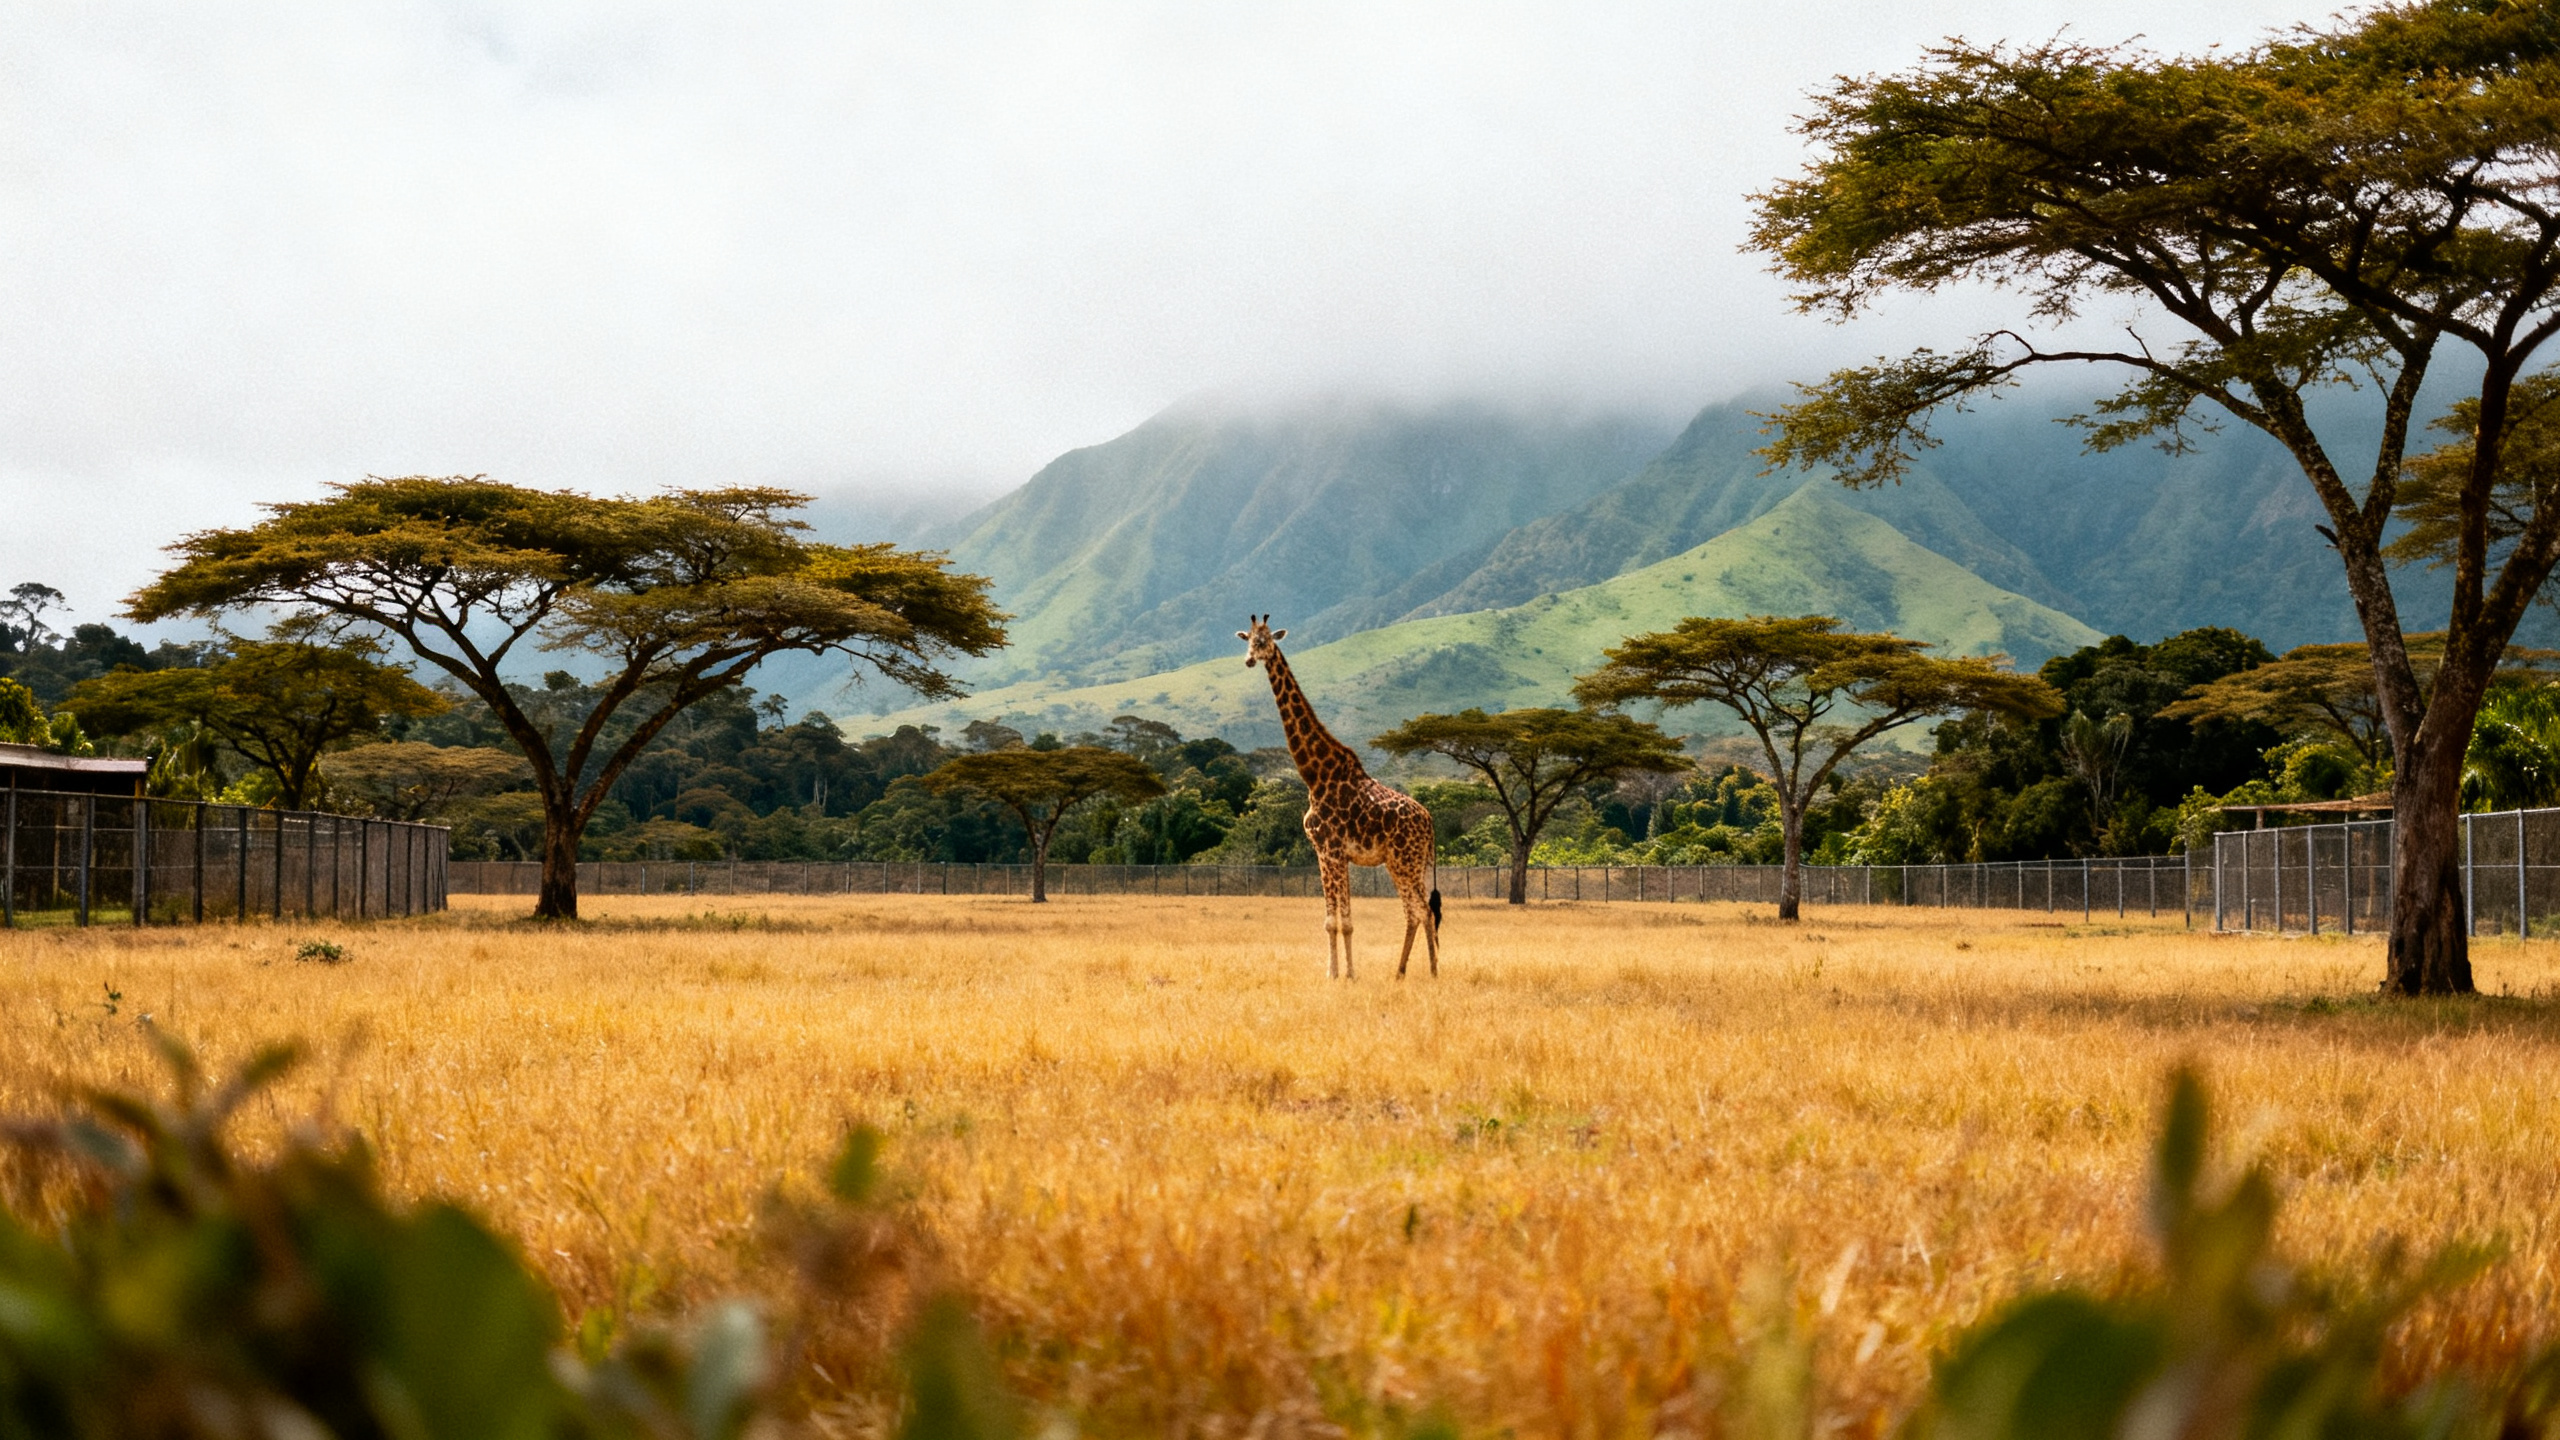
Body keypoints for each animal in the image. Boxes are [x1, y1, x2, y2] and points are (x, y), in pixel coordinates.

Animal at [1238, 615, 1440, 979]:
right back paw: (1402, 971)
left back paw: (1430, 971)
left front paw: (1337, 974)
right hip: (1408, 862)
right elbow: (1342, 920)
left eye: (1265, 641)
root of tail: (1429, 821)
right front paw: (1346, 972)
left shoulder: (1328, 851)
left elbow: (1336, 922)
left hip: (1404, 860)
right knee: (1416, 911)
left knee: (1422, 910)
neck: (1316, 777)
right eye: (1247, 640)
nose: (1249, 660)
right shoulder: (1335, 854)